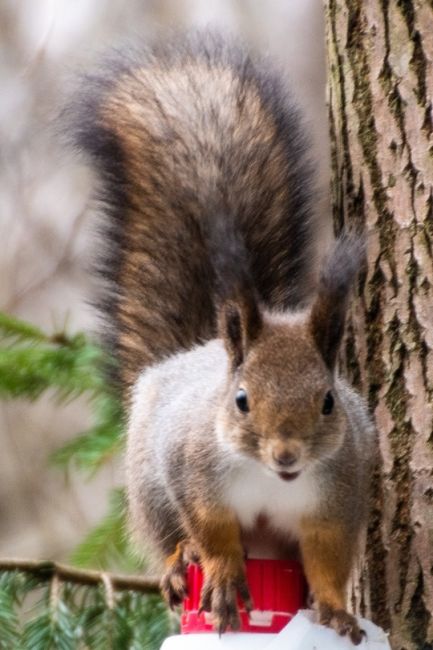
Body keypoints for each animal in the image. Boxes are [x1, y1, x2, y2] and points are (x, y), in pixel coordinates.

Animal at [69, 31, 372, 644]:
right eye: (241, 399)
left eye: (329, 401)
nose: (286, 455)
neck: (271, 481)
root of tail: (194, 352)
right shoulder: (194, 472)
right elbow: (212, 532)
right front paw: (225, 574)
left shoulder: (336, 499)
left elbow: (329, 560)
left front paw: (333, 609)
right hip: (150, 487)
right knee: (168, 534)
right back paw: (179, 562)